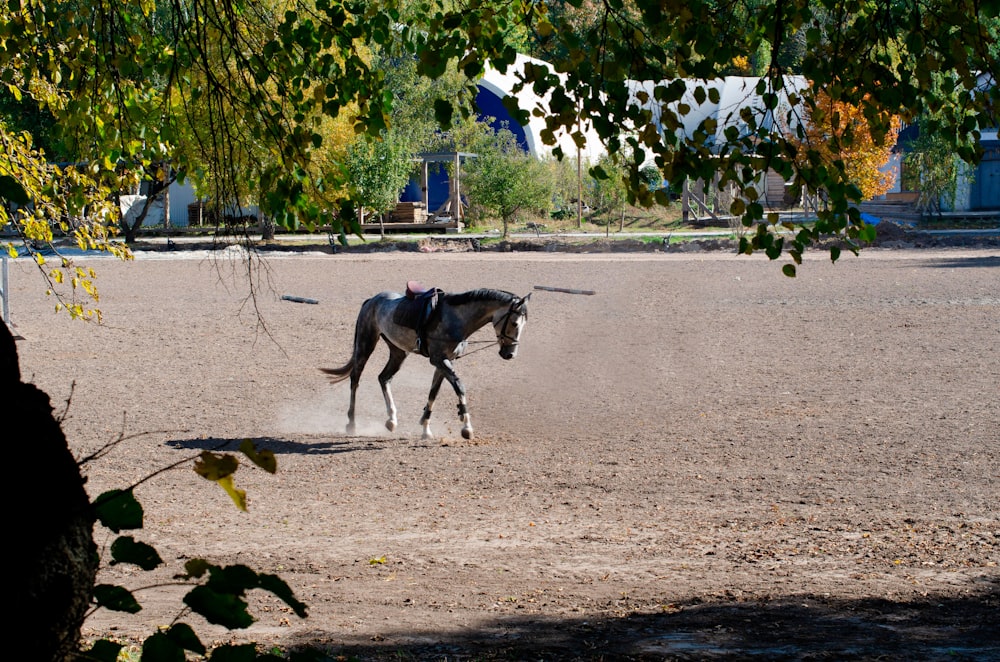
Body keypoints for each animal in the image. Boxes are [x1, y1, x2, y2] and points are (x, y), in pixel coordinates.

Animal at [322, 286, 532, 438]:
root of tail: (371, 300)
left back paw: (392, 420)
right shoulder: (439, 360)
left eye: (524, 325)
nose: (510, 354)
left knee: (384, 378)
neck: (457, 319)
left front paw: (425, 428)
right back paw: (351, 423)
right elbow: (460, 387)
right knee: (355, 379)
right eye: (514, 323)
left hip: (398, 352)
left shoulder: (444, 362)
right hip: (366, 344)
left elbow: (433, 393)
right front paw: (466, 427)